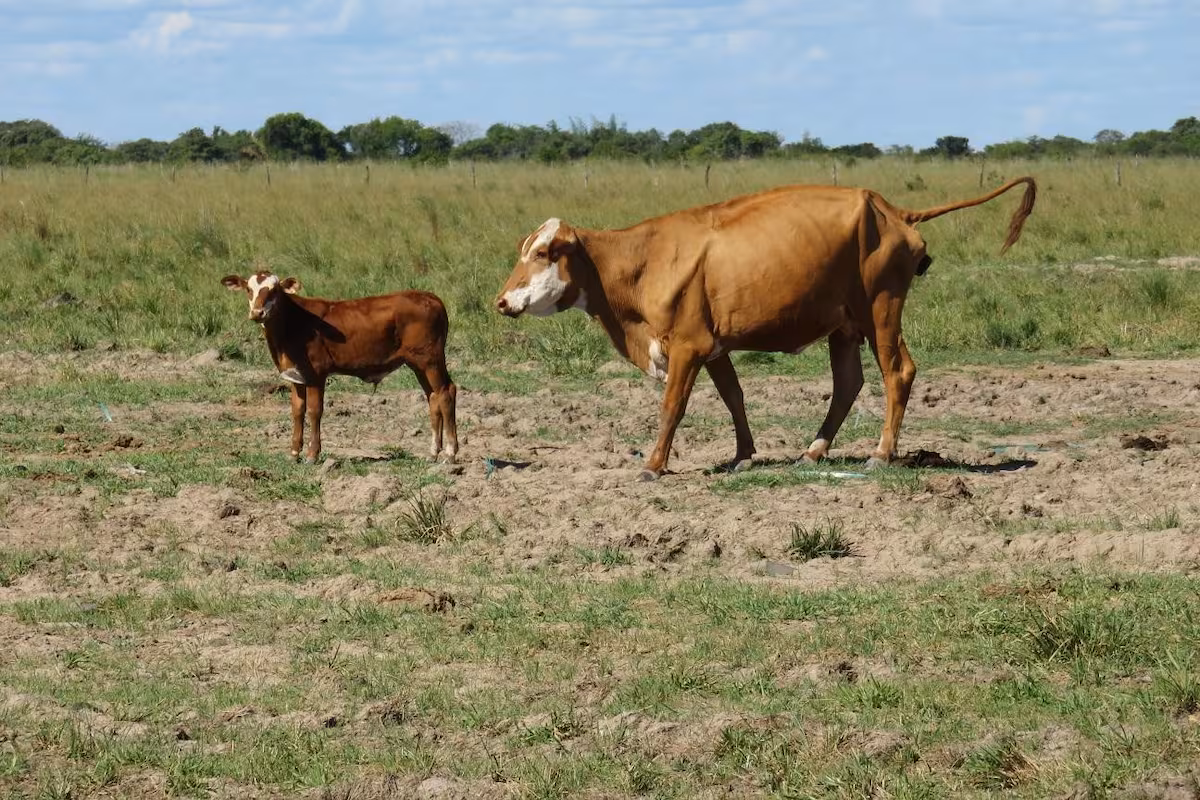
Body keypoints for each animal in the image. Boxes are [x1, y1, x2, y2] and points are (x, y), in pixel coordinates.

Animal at [221, 271, 458, 465]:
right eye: (249, 289)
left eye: (274, 290)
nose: (257, 312)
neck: (291, 323)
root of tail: (430, 297)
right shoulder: (295, 376)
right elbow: (297, 411)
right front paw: (294, 453)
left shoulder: (316, 374)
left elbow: (314, 411)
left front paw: (312, 455)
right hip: (418, 364)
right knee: (433, 397)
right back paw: (433, 452)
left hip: (430, 360)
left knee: (445, 393)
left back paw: (449, 452)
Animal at [495, 178, 1036, 481]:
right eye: (523, 249)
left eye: (543, 252)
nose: (502, 300)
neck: (644, 261)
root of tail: (890, 209)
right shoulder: (713, 348)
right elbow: (734, 398)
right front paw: (743, 456)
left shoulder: (688, 347)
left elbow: (672, 407)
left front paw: (652, 465)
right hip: (844, 325)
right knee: (848, 384)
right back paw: (813, 452)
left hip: (882, 309)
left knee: (897, 372)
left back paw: (882, 454)